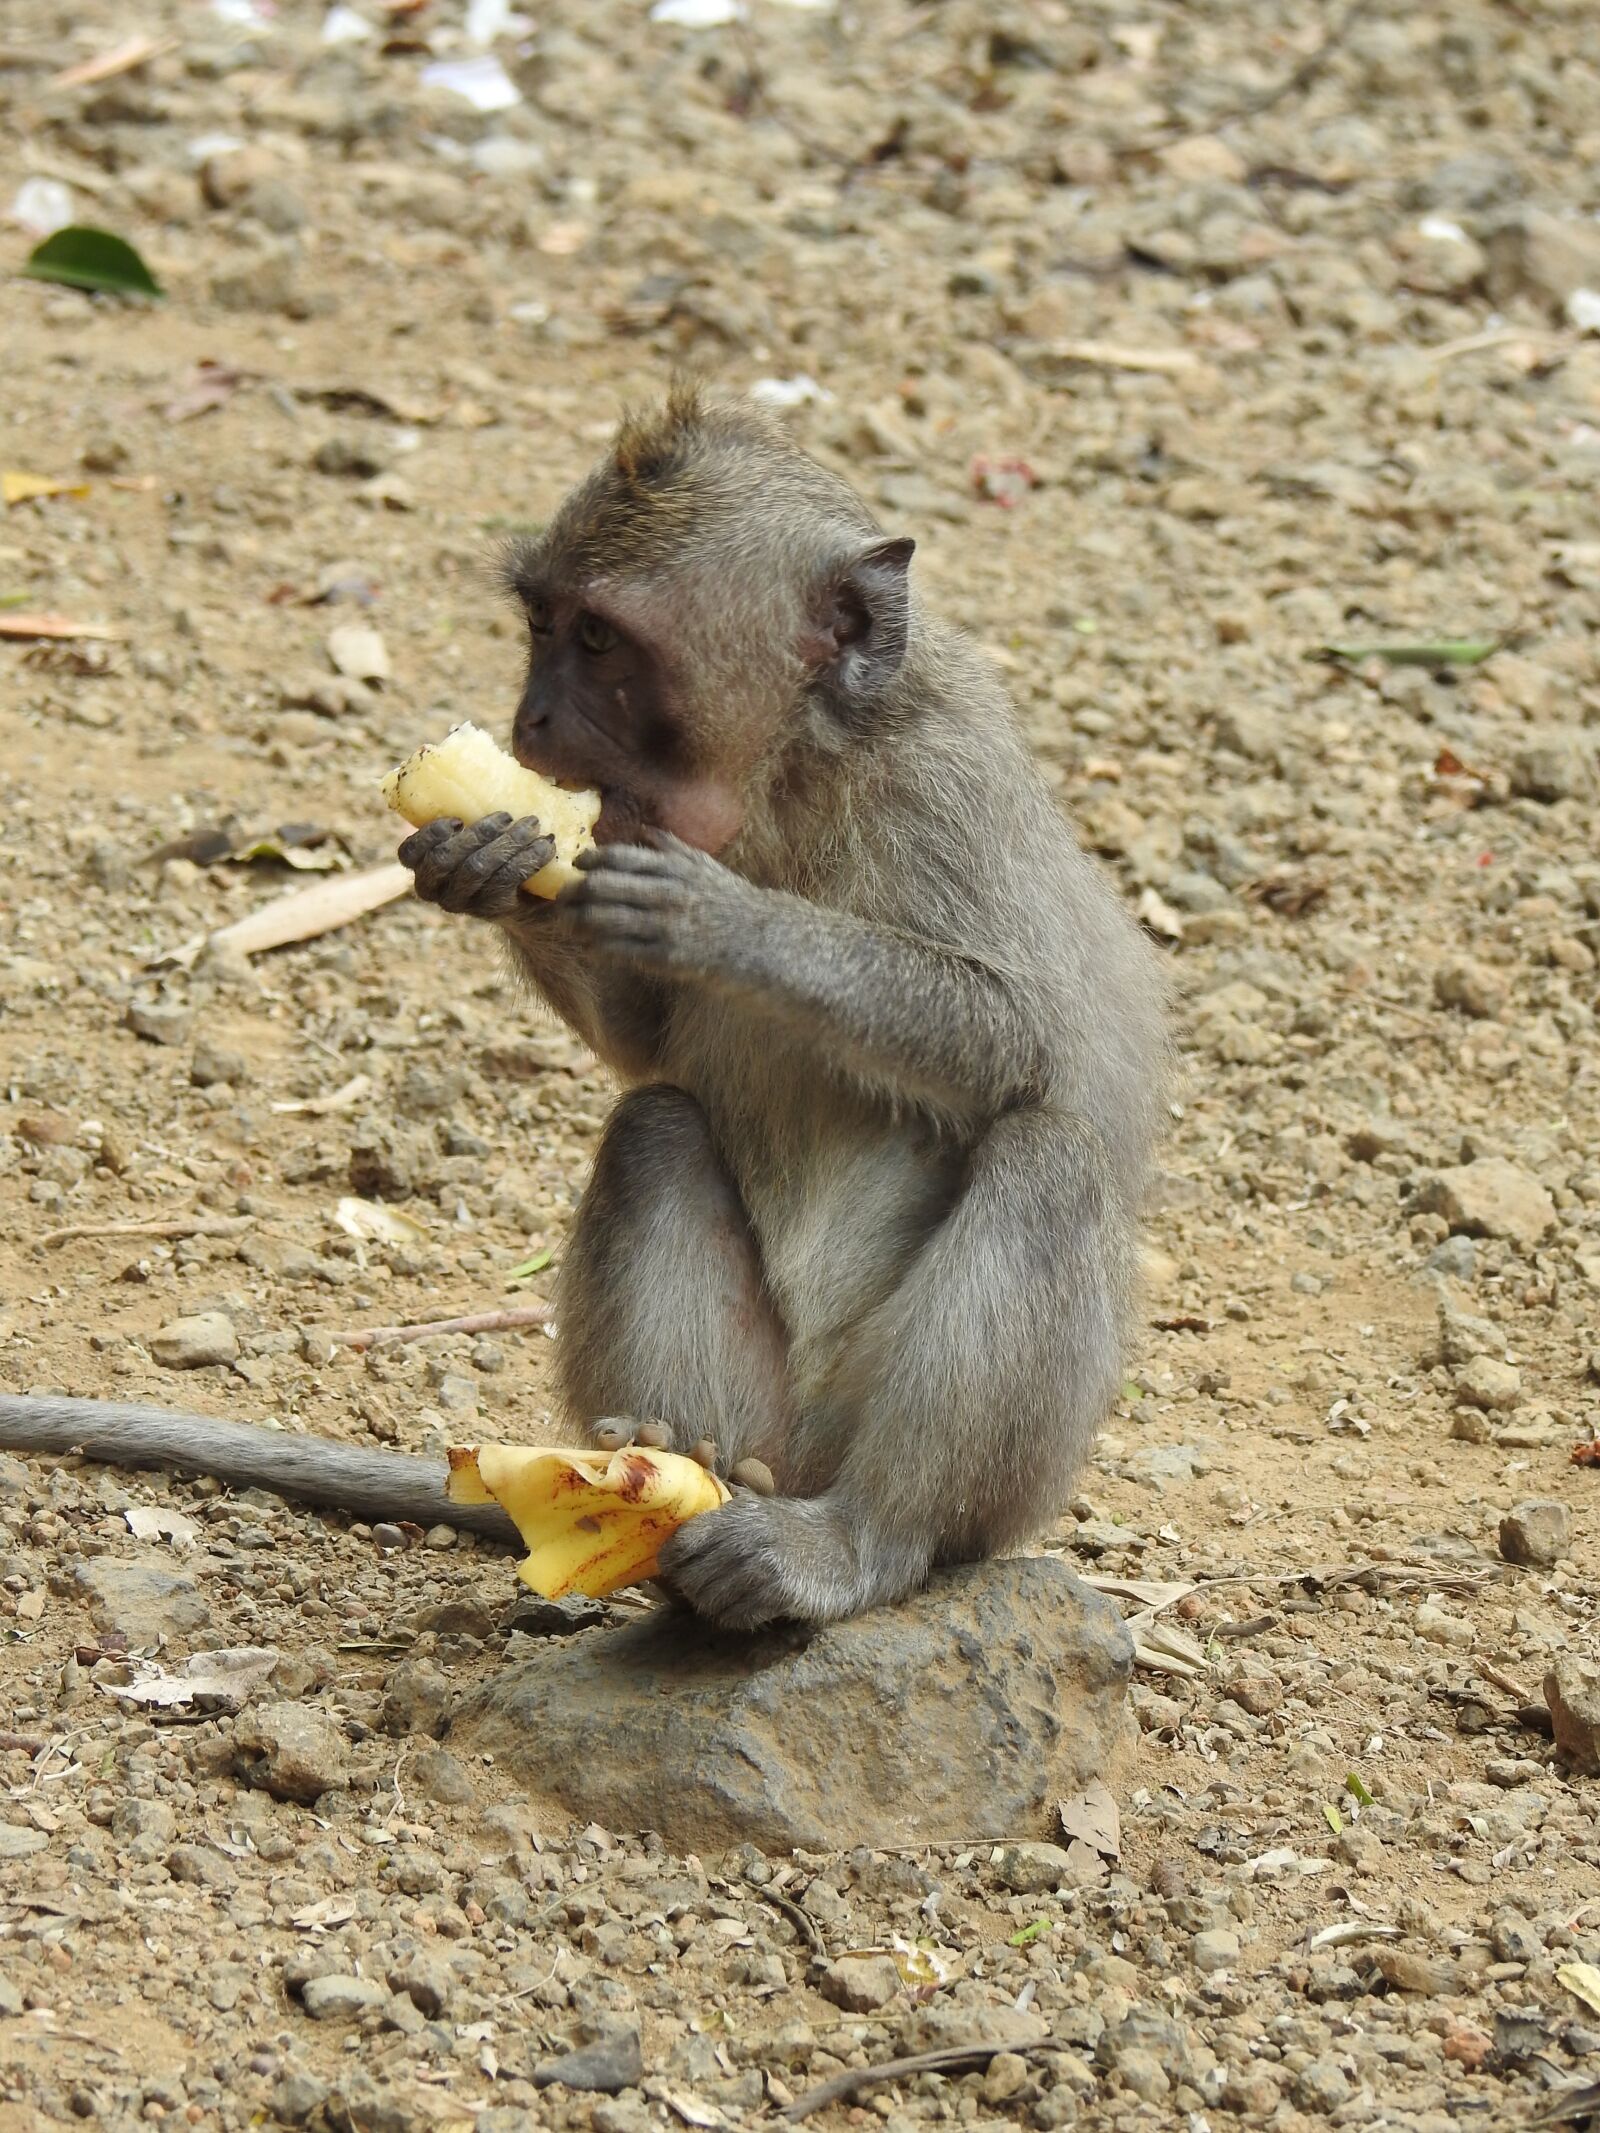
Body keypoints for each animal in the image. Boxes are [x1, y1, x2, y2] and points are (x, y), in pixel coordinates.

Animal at [0, 385, 1166, 1631]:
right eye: (541, 623)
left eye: (600, 641)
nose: (531, 722)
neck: (787, 775)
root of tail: (799, 1467)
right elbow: (646, 1051)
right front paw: (493, 864)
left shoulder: (944, 789)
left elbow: (1029, 1039)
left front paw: (730, 925)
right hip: (769, 1417)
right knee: (655, 1131)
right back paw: (671, 1461)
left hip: (982, 1476)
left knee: (1046, 1161)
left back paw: (855, 1539)